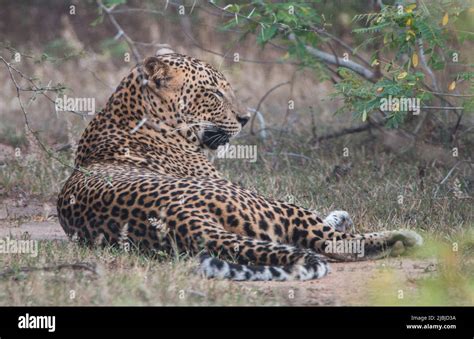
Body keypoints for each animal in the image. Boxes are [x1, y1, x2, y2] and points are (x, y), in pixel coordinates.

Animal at [57, 52, 424, 282]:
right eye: (213, 93)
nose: (245, 118)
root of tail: (182, 220)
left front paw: (339, 214)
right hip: (269, 203)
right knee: (334, 242)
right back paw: (403, 237)